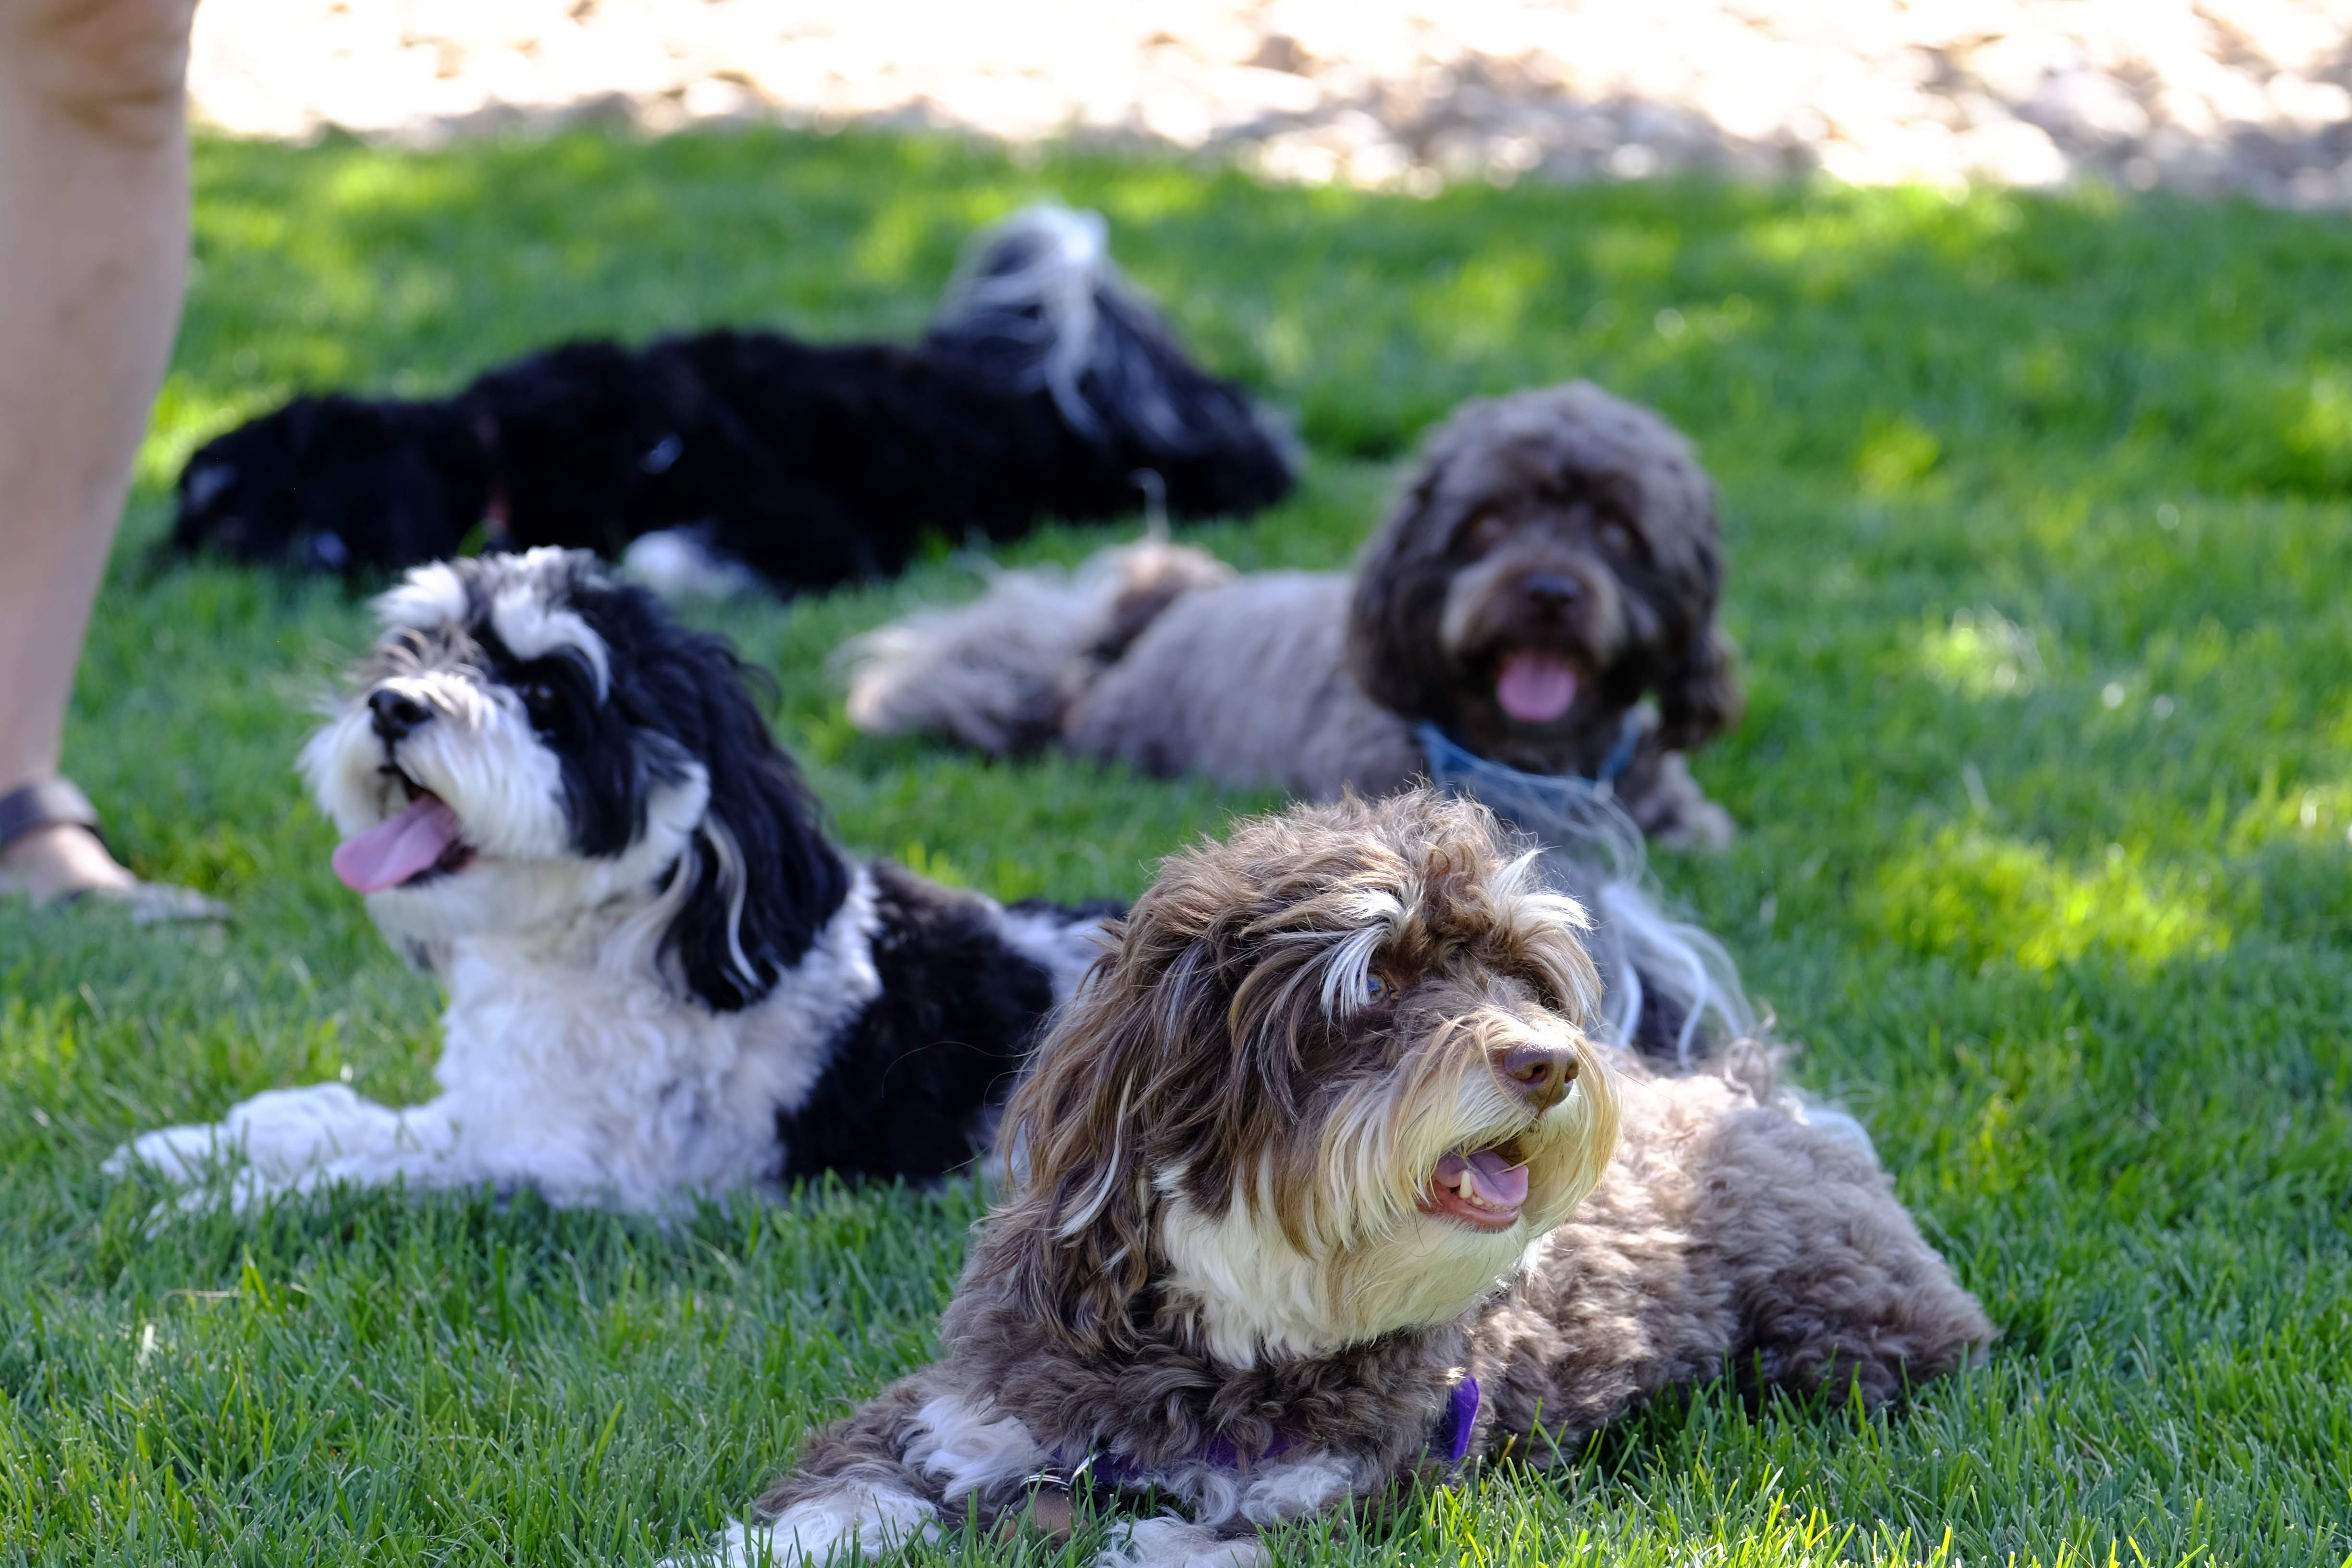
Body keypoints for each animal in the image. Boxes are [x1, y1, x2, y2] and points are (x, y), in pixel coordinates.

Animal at [106, 552, 1105, 1213]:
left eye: (548, 697)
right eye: (417, 646)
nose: (393, 705)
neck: (599, 940)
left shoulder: (575, 1172)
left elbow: (390, 1171)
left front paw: (227, 1196)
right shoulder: (501, 1106)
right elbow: (381, 1123)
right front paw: (207, 1141)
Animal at [673, 799, 1994, 1568]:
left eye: (1520, 975)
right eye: (1379, 985)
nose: (1551, 1060)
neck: (1223, 1317)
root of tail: (1747, 1091)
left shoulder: (1355, 1492)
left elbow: (1199, 1544)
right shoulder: (963, 1407)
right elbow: (833, 1500)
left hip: (1842, 1338)